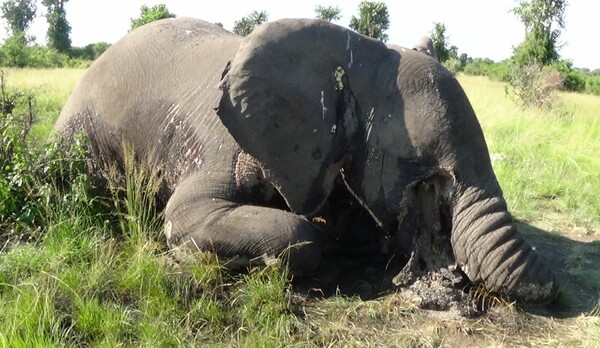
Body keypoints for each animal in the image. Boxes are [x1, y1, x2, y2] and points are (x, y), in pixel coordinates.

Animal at [55, 17, 556, 304]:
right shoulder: (223, 144)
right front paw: (262, 264)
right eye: (417, 165)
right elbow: (190, 217)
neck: (354, 54)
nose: (552, 287)